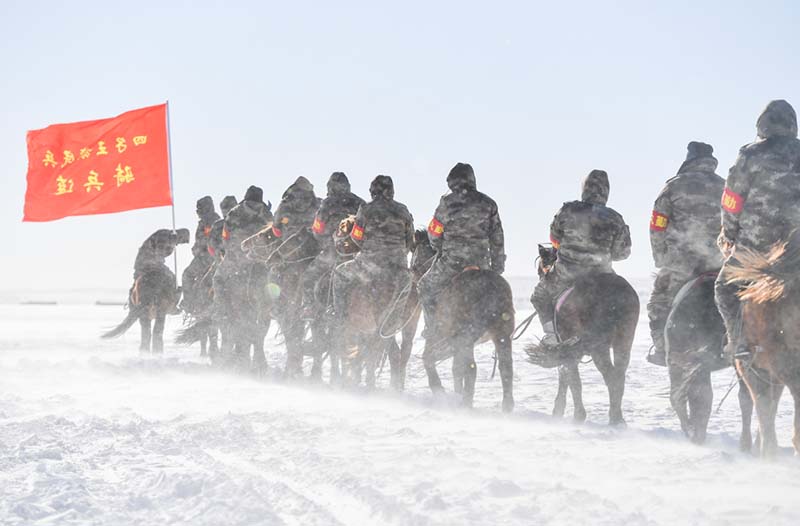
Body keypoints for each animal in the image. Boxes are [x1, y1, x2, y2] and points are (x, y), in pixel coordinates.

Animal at [528, 245, 640, 426]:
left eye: (542, 266)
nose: (542, 277)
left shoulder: (568, 349)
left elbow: (571, 378)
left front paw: (570, 413)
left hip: (598, 348)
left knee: (610, 376)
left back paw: (611, 417)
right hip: (623, 342)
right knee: (619, 376)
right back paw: (618, 417)